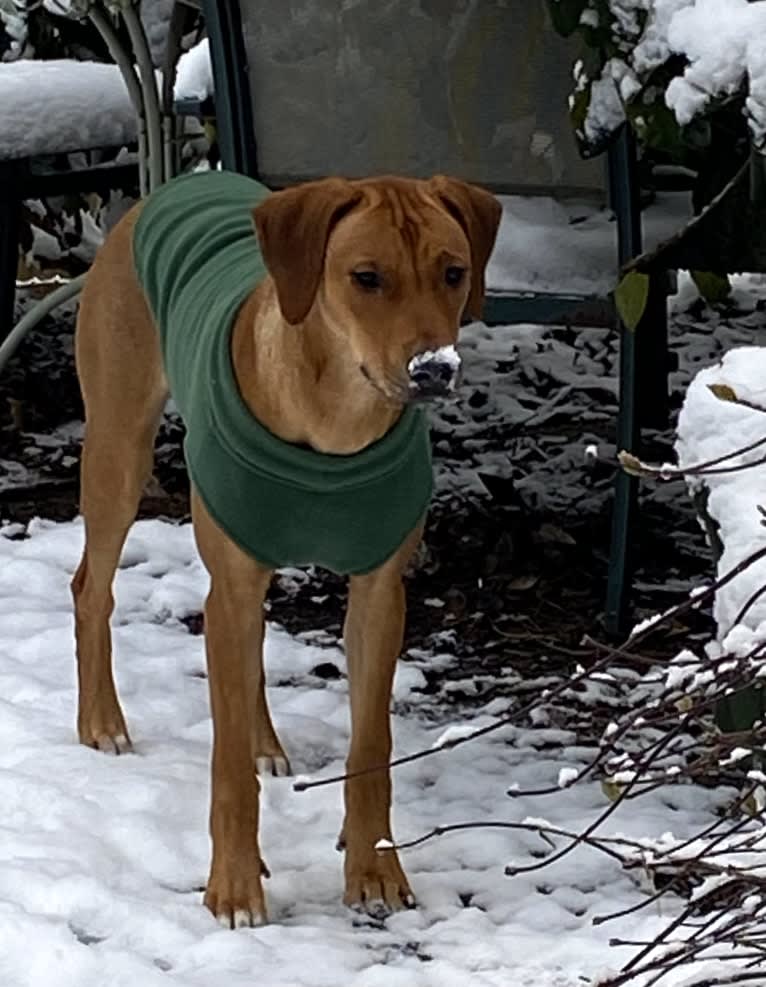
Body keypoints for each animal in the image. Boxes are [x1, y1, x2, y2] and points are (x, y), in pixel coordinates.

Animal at [72, 172, 504, 928]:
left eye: (454, 273)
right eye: (366, 277)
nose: (434, 370)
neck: (335, 419)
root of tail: (172, 185)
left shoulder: (379, 589)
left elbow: (371, 746)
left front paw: (376, 869)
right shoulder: (232, 577)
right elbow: (226, 771)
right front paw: (236, 887)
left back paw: (266, 744)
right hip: (119, 447)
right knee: (92, 587)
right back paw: (102, 721)